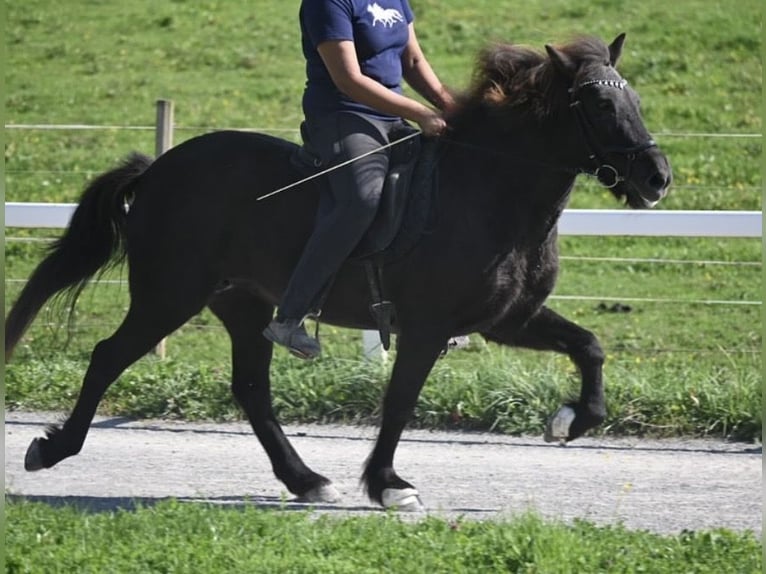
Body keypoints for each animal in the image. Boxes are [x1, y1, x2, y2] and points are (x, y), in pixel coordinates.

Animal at [5, 34, 671, 511]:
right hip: (168, 296)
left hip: (243, 304)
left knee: (252, 389)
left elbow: (589, 346)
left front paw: (570, 421)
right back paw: (51, 449)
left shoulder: (507, 319)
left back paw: (305, 480)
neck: (488, 188)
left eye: (635, 100)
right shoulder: (428, 328)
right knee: (107, 357)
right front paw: (388, 484)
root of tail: (158, 170)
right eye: (599, 103)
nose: (657, 177)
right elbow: (399, 404)